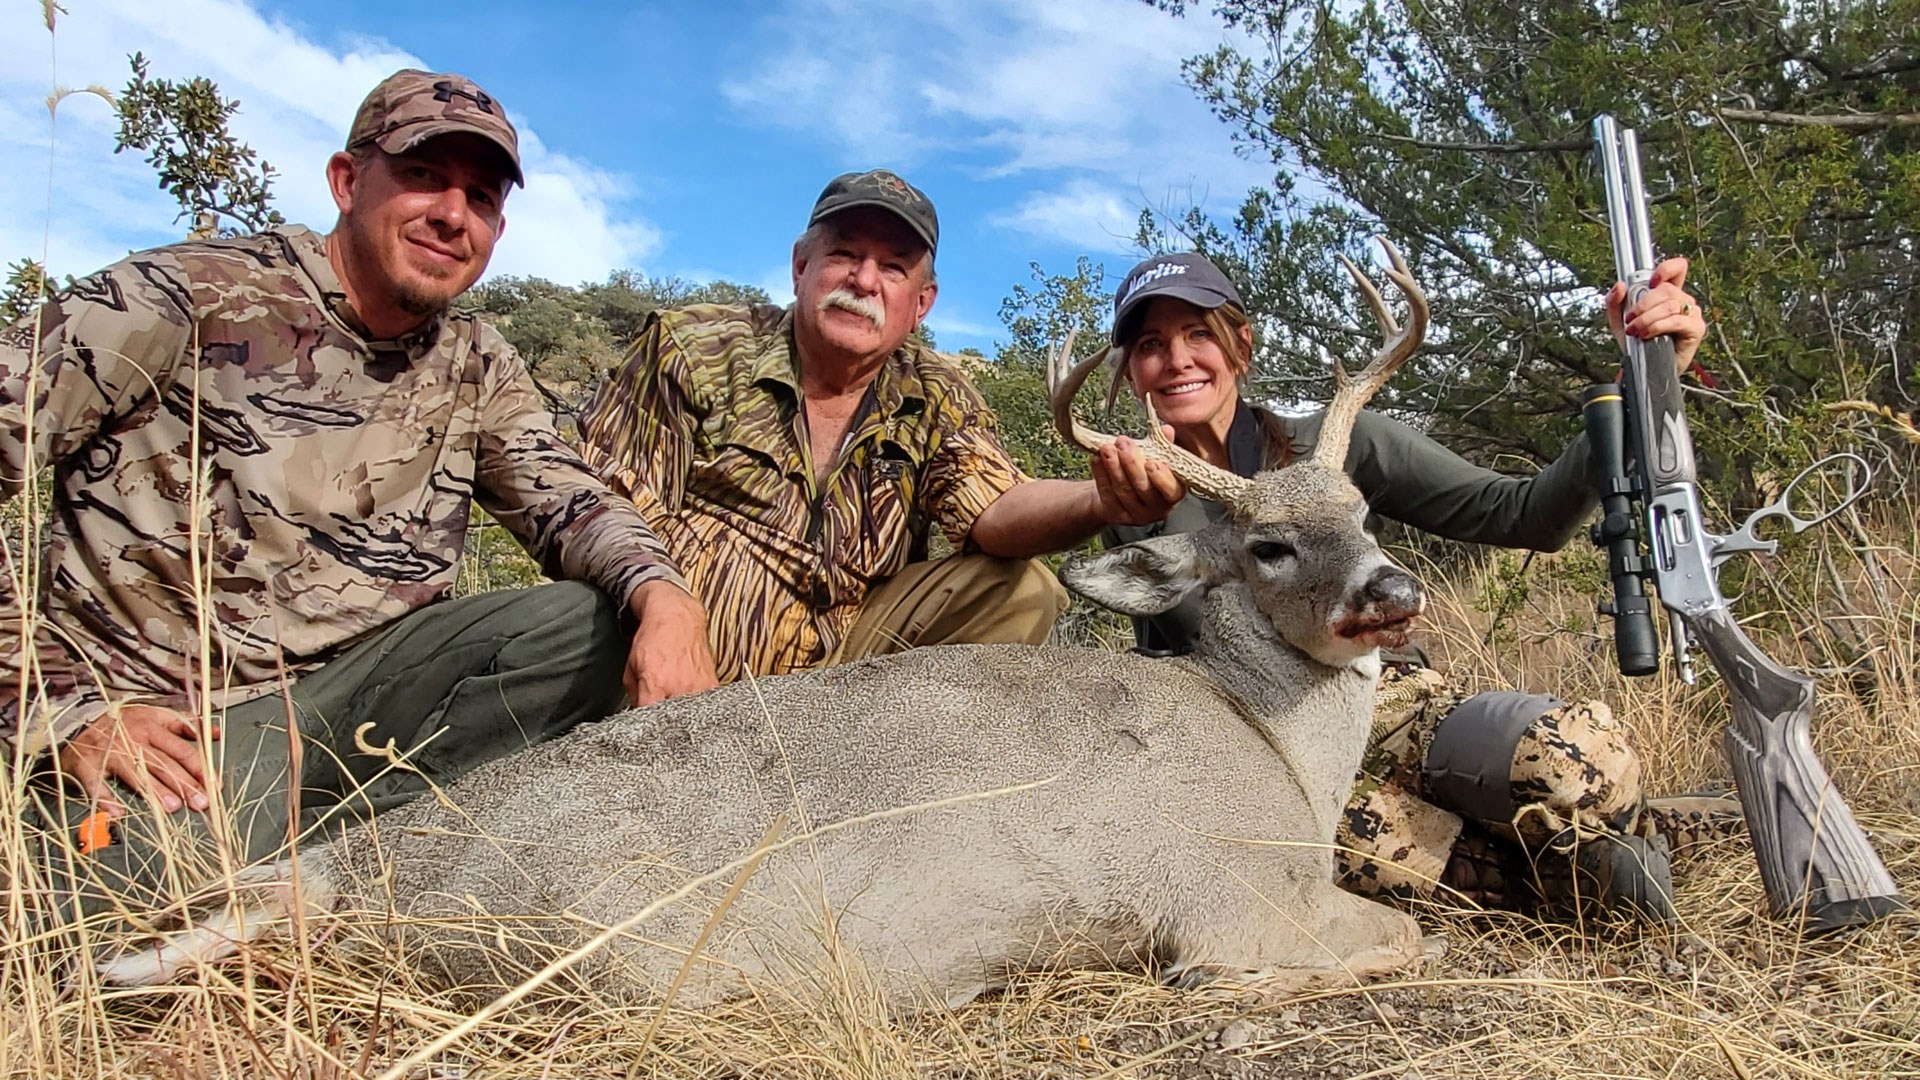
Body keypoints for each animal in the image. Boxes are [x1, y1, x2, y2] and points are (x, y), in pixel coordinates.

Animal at [97, 239, 1436, 1014]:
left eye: (1368, 512)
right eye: (1267, 547)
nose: (1391, 596)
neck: (1276, 754)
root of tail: (344, 868)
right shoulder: (1228, 898)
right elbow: (1395, 934)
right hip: (641, 951)